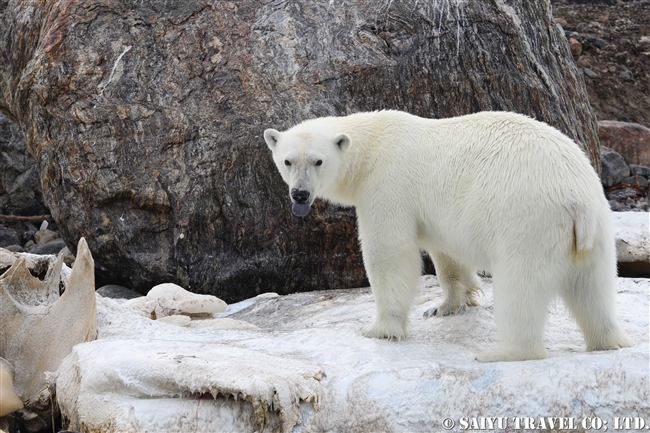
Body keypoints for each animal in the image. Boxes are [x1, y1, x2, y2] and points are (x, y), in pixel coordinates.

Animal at [260, 110, 632, 362]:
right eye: (288, 161)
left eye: (318, 161)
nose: (300, 194)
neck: (373, 145)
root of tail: (576, 197)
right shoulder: (439, 215)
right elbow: (448, 253)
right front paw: (446, 305)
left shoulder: (387, 185)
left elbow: (389, 254)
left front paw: (379, 328)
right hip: (595, 230)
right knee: (594, 288)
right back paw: (609, 341)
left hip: (528, 221)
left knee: (521, 288)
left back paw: (502, 353)